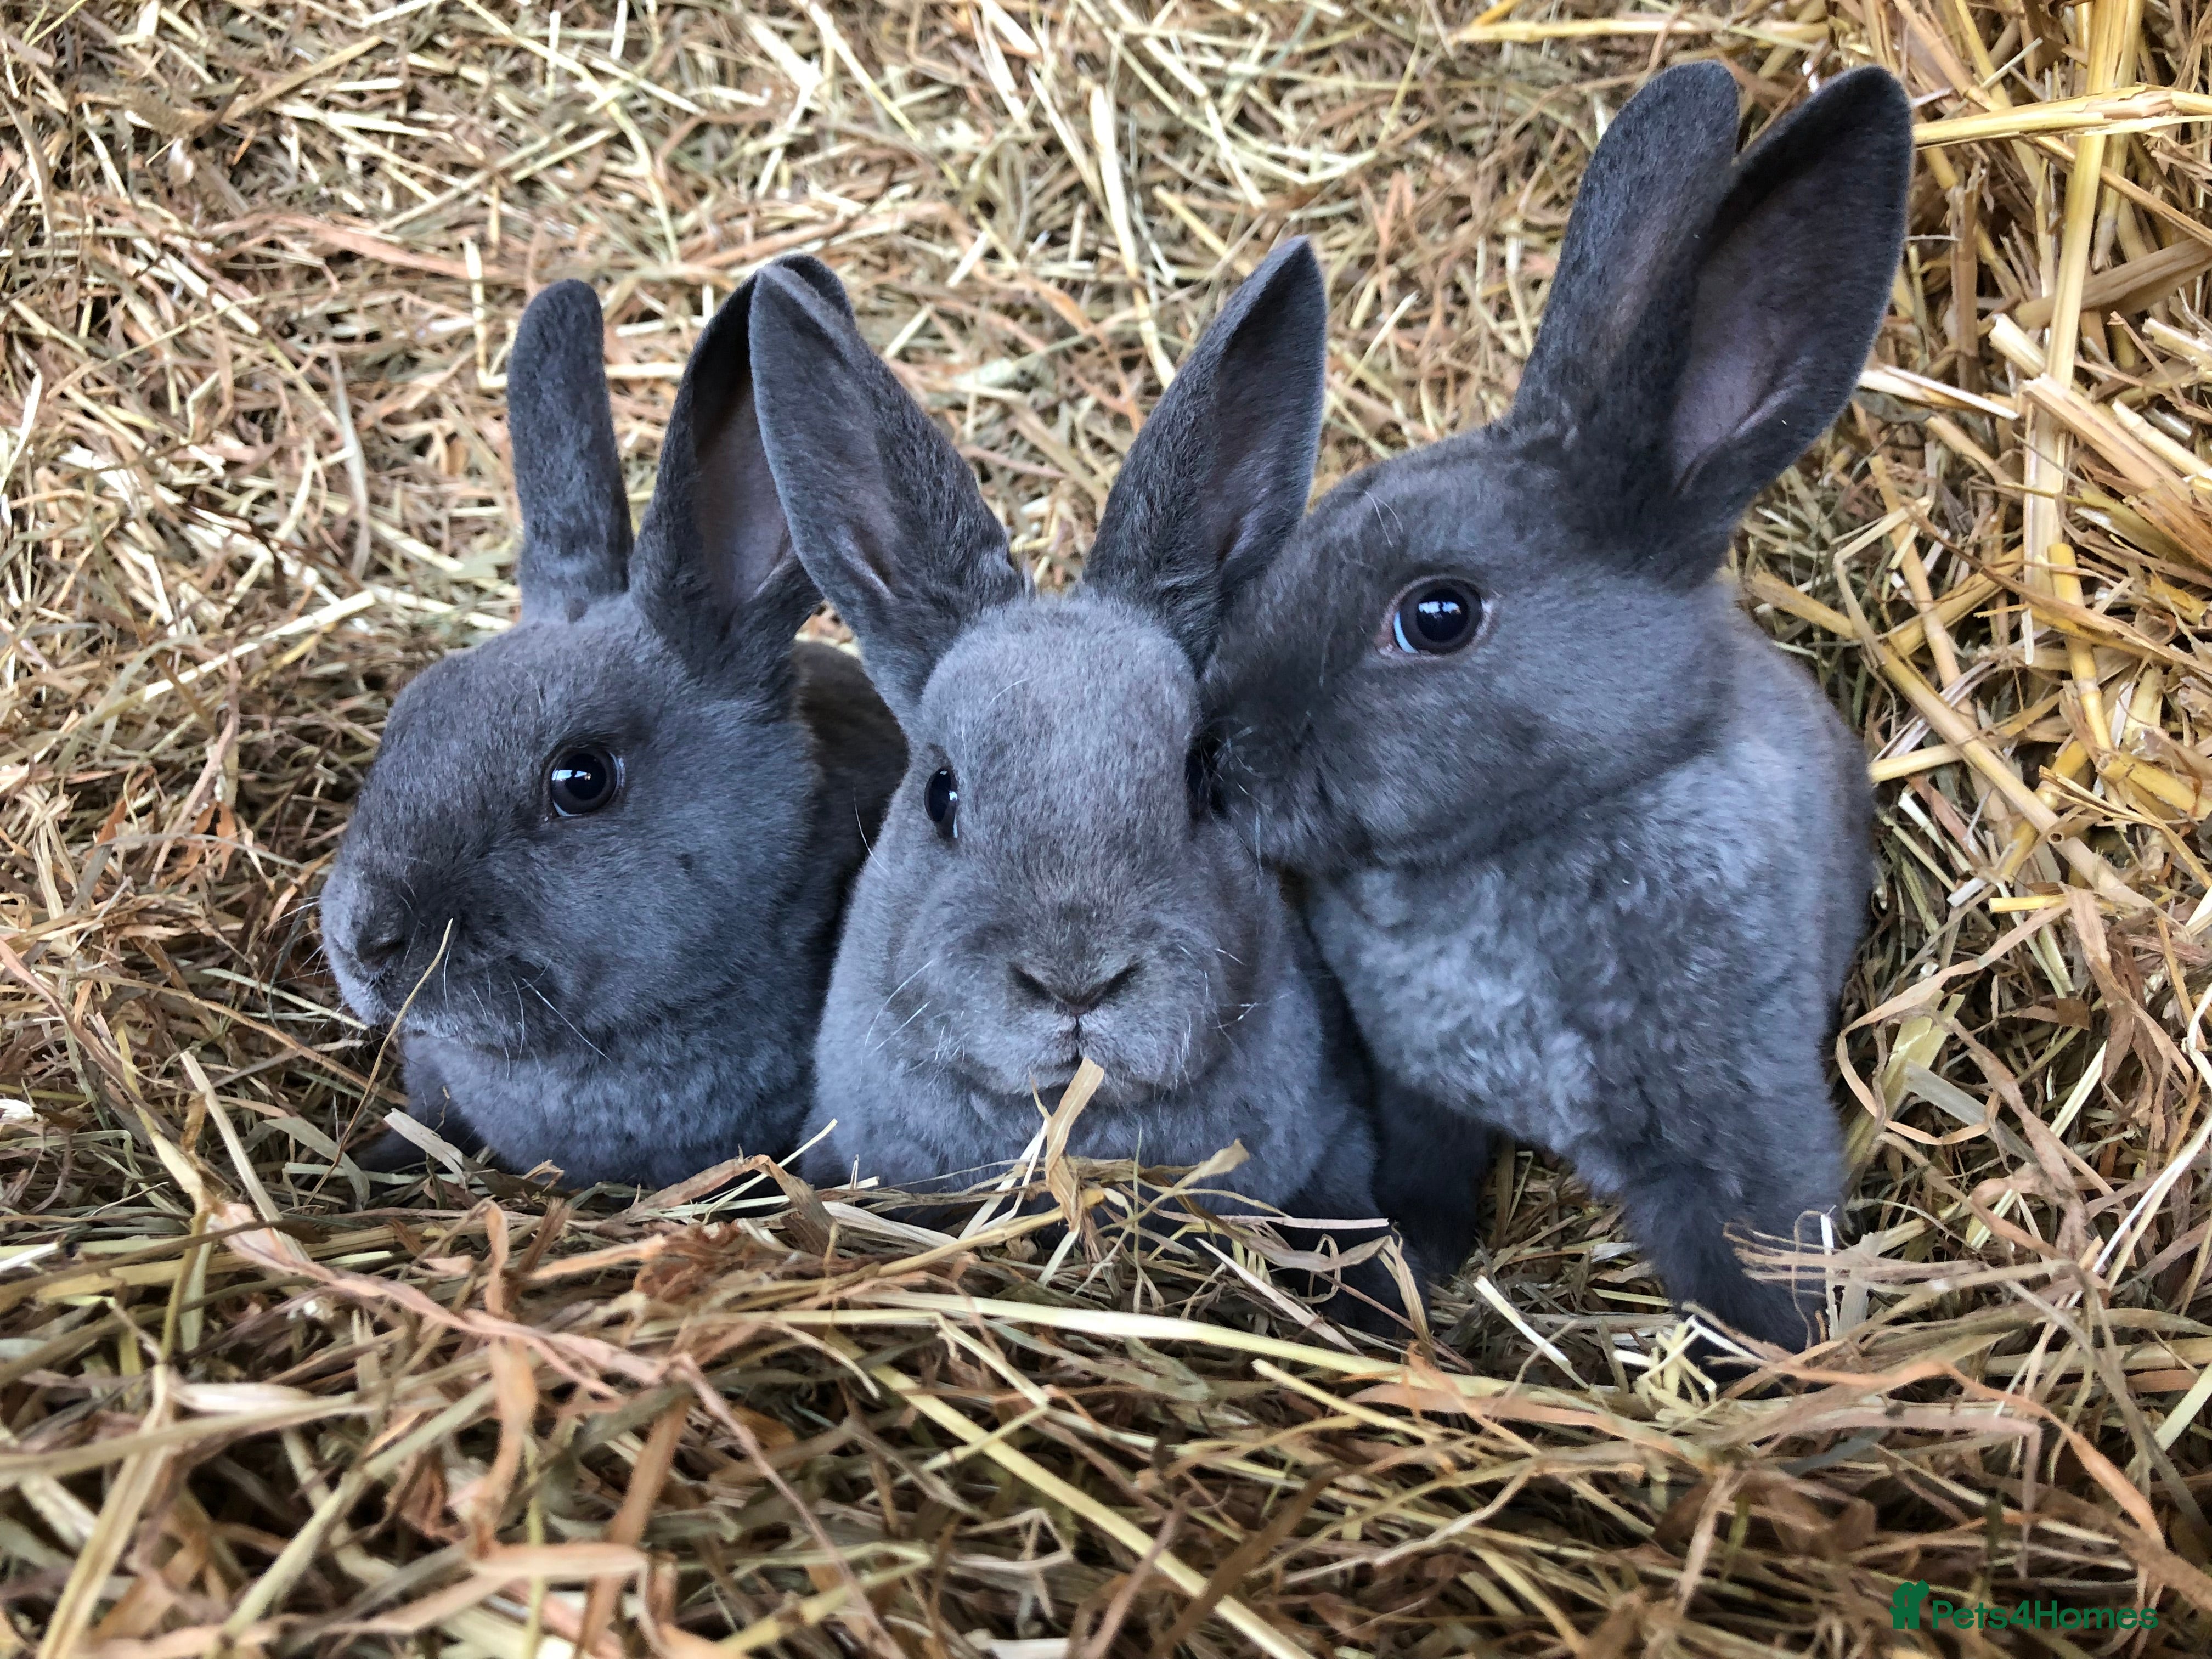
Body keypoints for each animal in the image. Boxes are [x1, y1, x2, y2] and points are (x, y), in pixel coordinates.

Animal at [1200, 64, 1911, 1350]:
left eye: (1437, 616)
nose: (1221, 753)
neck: (1514, 850)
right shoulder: (1414, 1092)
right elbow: (1417, 1183)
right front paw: (1399, 1281)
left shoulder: (1740, 1131)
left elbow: (1759, 1263)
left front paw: (1793, 1374)